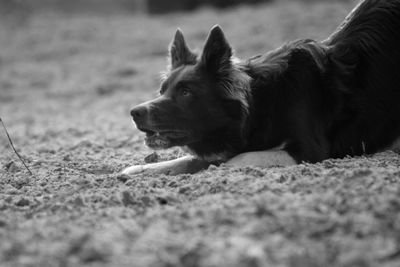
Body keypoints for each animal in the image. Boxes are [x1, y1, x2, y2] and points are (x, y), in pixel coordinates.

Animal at [122, 0, 400, 177]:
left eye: (185, 92)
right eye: (162, 91)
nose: (134, 112)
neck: (263, 102)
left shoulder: (309, 151)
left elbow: (232, 160)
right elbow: (190, 159)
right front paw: (141, 169)